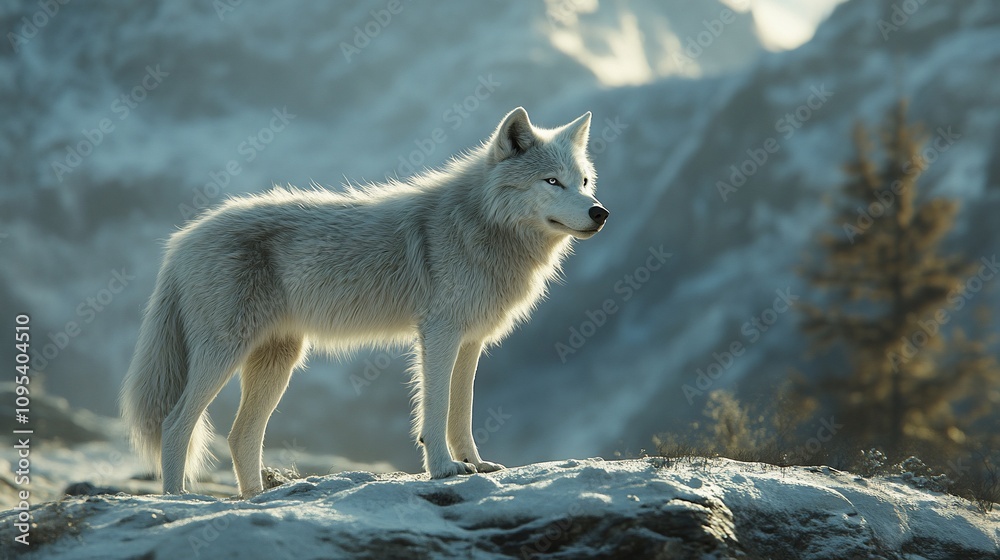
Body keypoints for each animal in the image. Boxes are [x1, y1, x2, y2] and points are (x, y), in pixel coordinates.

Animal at [120, 107, 609, 498]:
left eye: (584, 182)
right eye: (552, 181)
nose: (600, 212)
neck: (480, 224)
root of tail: (180, 241)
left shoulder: (471, 342)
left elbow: (462, 412)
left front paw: (476, 464)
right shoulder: (439, 335)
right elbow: (435, 410)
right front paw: (443, 469)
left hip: (277, 361)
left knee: (241, 437)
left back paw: (253, 500)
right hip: (224, 355)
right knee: (176, 424)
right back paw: (179, 500)